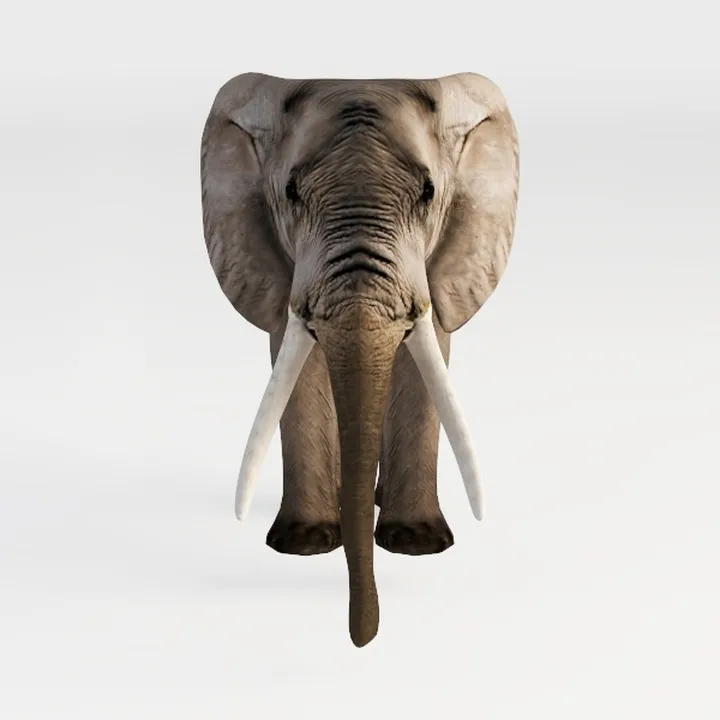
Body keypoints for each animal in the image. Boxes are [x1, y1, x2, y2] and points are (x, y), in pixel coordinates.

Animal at [200, 72, 519, 647]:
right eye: (290, 192)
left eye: (429, 193)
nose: (362, 637)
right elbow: (297, 365)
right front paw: (304, 543)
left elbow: (424, 361)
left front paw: (416, 543)